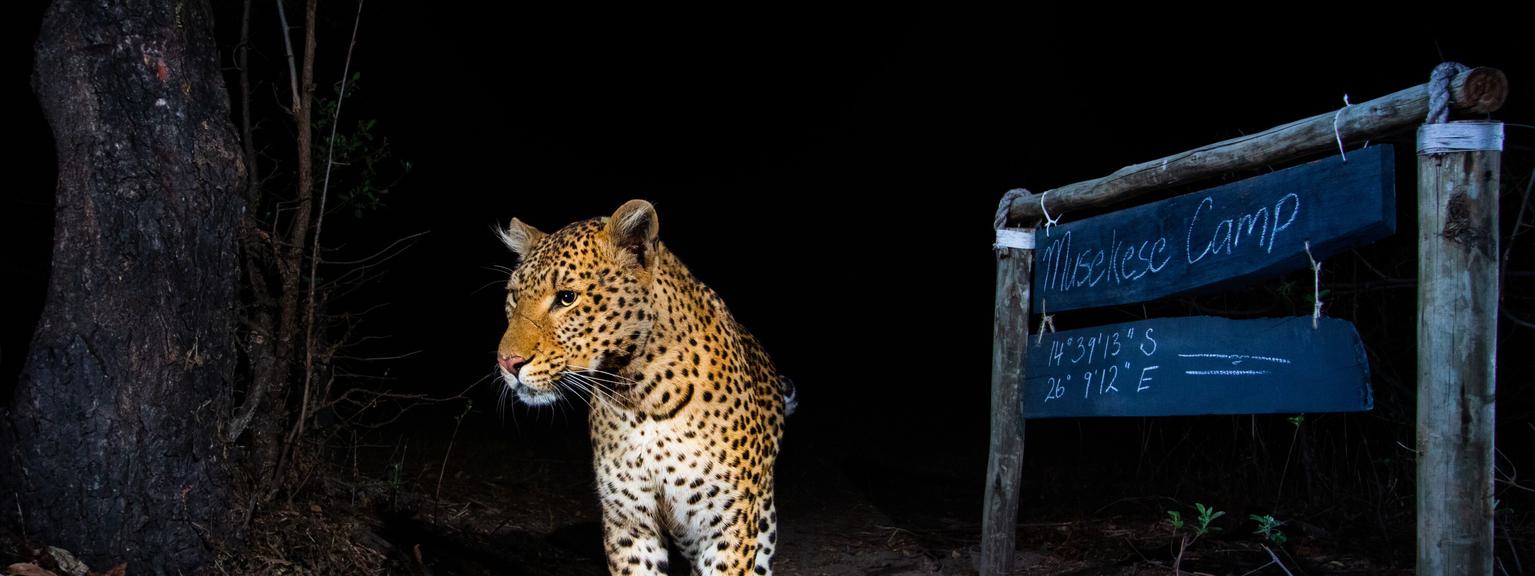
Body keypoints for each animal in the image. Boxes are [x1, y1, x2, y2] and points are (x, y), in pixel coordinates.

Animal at [496, 199, 794, 576]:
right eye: (513, 297)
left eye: (566, 298)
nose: (507, 362)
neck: (641, 395)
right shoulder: (629, 522)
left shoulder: (726, 522)